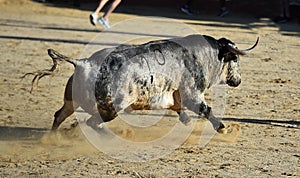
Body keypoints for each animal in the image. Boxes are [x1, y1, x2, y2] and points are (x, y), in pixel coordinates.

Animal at [42, 34, 258, 133]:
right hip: (112, 108)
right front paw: (222, 127)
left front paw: (186, 121)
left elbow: (178, 108)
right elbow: (206, 109)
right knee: (92, 122)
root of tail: (84, 62)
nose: (238, 80)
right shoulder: (193, 94)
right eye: (235, 59)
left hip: (72, 102)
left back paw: (53, 137)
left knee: (60, 115)